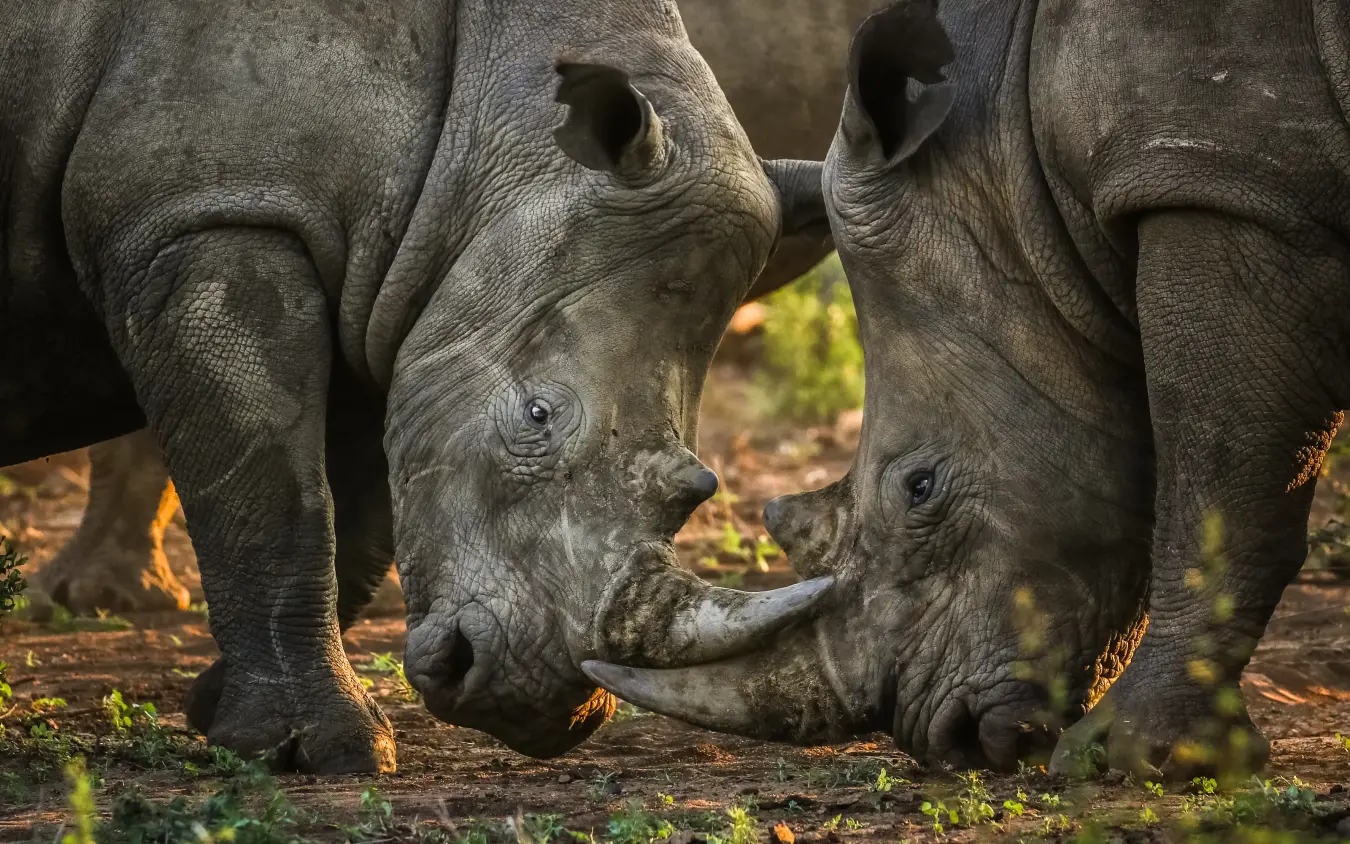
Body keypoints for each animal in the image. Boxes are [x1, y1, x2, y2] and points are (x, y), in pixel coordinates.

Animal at [1, 0, 838, 773]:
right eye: (536, 415)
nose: (540, 706)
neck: (503, 121)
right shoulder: (212, 213)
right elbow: (276, 500)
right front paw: (325, 752)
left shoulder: (388, 288)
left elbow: (355, 508)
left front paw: (221, 713)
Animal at [585, 0, 1350, 779]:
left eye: (919, 487)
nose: (948, 740)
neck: (1010, 150)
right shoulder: (1225, 181)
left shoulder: (1219, 186)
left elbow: (1217, 485)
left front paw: (1139, 757)